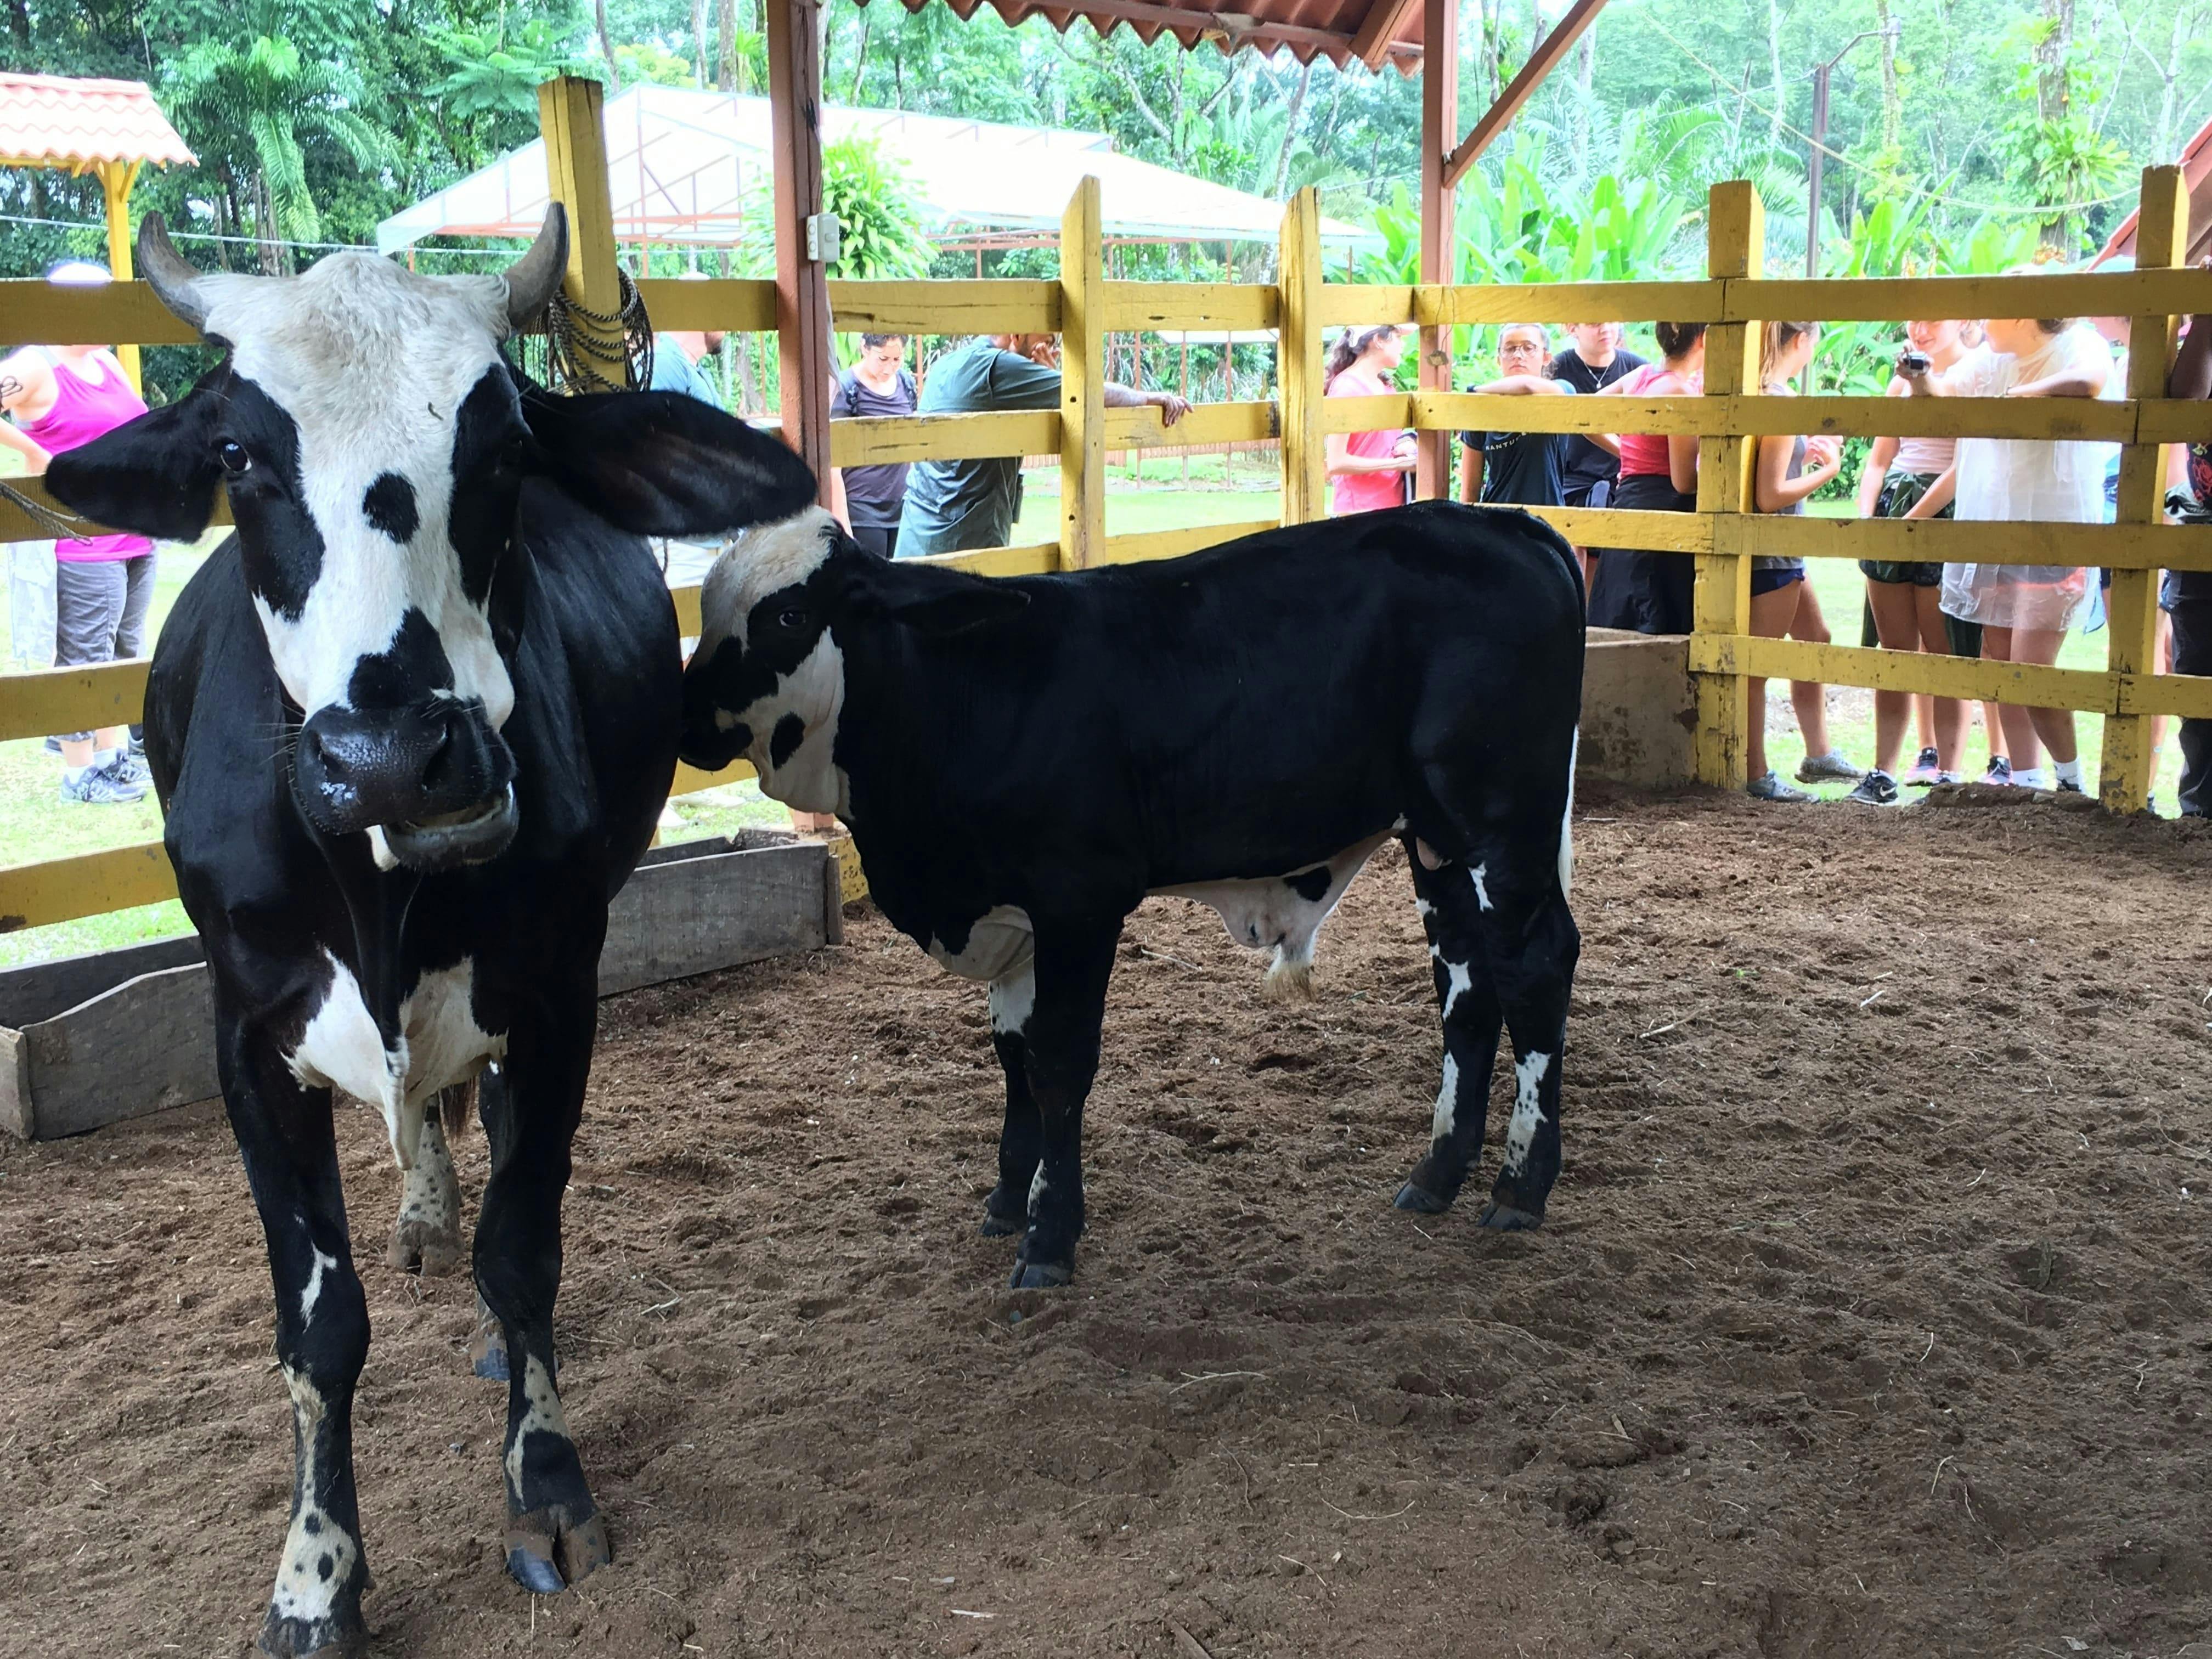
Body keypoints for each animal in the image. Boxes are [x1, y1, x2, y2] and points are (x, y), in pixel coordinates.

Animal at [45, 215, 822, 1654]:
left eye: (504, 444)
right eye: (237, 454)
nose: (395, 757)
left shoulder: (561, 991)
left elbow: (526, 1244)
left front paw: (547, 1475)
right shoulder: (247, 1037)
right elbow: (317, 1325)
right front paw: (315, 1571)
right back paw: (420, 1208)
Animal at [681, 500, 1583, 1291]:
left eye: (789, 616)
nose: (685, 713)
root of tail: (1506, 523)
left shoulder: (1079, 903)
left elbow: (1058, 1064)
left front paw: (1049, 1235)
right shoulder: (1016, 922)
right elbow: (1014, 1054)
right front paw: (1008, 1200)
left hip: (1503, 831)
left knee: (1535, 970)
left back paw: (1520, 1186)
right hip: (1436, 846)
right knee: (1467, 994)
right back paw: (1438, 1172)